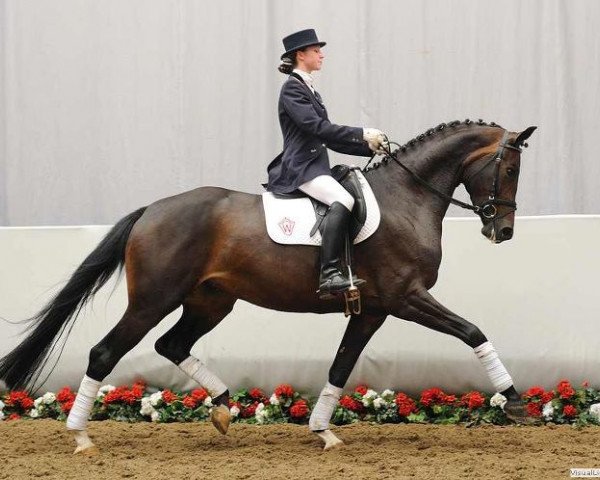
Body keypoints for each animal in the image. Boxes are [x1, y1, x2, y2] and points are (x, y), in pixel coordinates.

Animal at [0, 119, 536, 450]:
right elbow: (472, 332)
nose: (503, 231)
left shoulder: (372, 309)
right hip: (153, 299)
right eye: (509, 169)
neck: (407, 199)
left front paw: (323, 431)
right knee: (105, 352)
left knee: (172, 344)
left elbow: (342, 365)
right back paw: (81, 436)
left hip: (211, 301)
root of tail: (151, 210)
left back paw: (223, 408)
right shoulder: (406, 297)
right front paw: (513, 401)